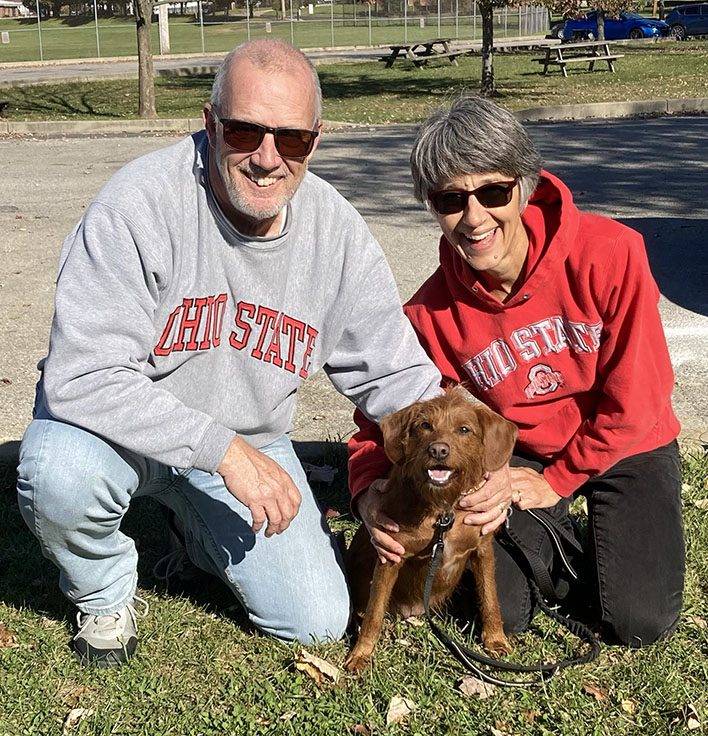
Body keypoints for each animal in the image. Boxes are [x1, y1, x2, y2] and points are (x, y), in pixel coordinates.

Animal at [344, 386, 516, 672]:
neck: (443, 511)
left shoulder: (482, 549)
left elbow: (490, 599)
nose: (438, 450)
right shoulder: (390, 556)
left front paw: (495, 639)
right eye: (425, 426)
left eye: (464, 429)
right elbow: (374, 614)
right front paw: (361, 654)